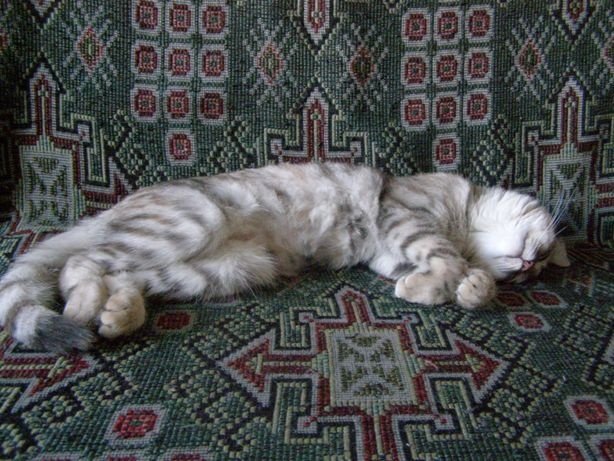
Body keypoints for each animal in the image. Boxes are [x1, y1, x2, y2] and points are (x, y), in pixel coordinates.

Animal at [0, 163, 570, 353]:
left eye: (537, 270)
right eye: (542, 249)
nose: (530, 266)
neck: (462, 220)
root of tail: (117, 206)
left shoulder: (390, 252)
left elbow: (446, 269)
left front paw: (469, 288)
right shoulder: (403, 214)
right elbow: (445, 258)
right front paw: (450, 283)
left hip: (221, 268)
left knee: (122, 275)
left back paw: (118, 314)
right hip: (192, 224)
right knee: (80, 263)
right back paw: (82, 307)